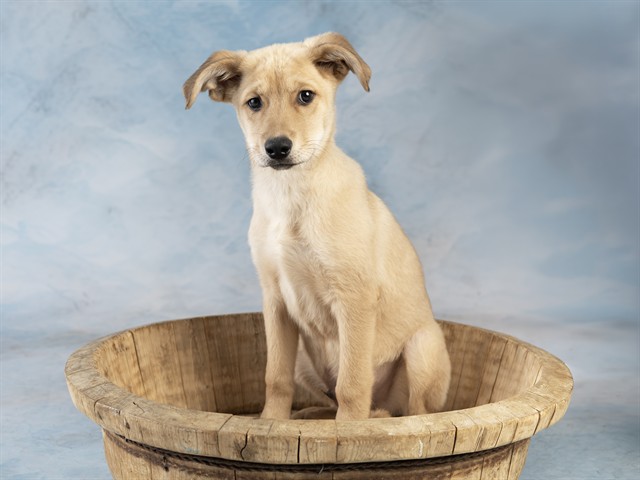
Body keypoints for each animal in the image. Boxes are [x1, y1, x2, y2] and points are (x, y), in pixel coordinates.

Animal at [183, 32, 451, 420]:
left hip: (423, 347)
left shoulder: (354, 299)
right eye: (254, 102)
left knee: (414, 414)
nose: (277, 148)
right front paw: (272, 423)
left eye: (305, 96)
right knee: (325, 400)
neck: (290, 194)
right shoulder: (275, 302)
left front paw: (350, 429)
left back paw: (376, 418)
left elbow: (352, 384)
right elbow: (275, 379)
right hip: (304, 363)